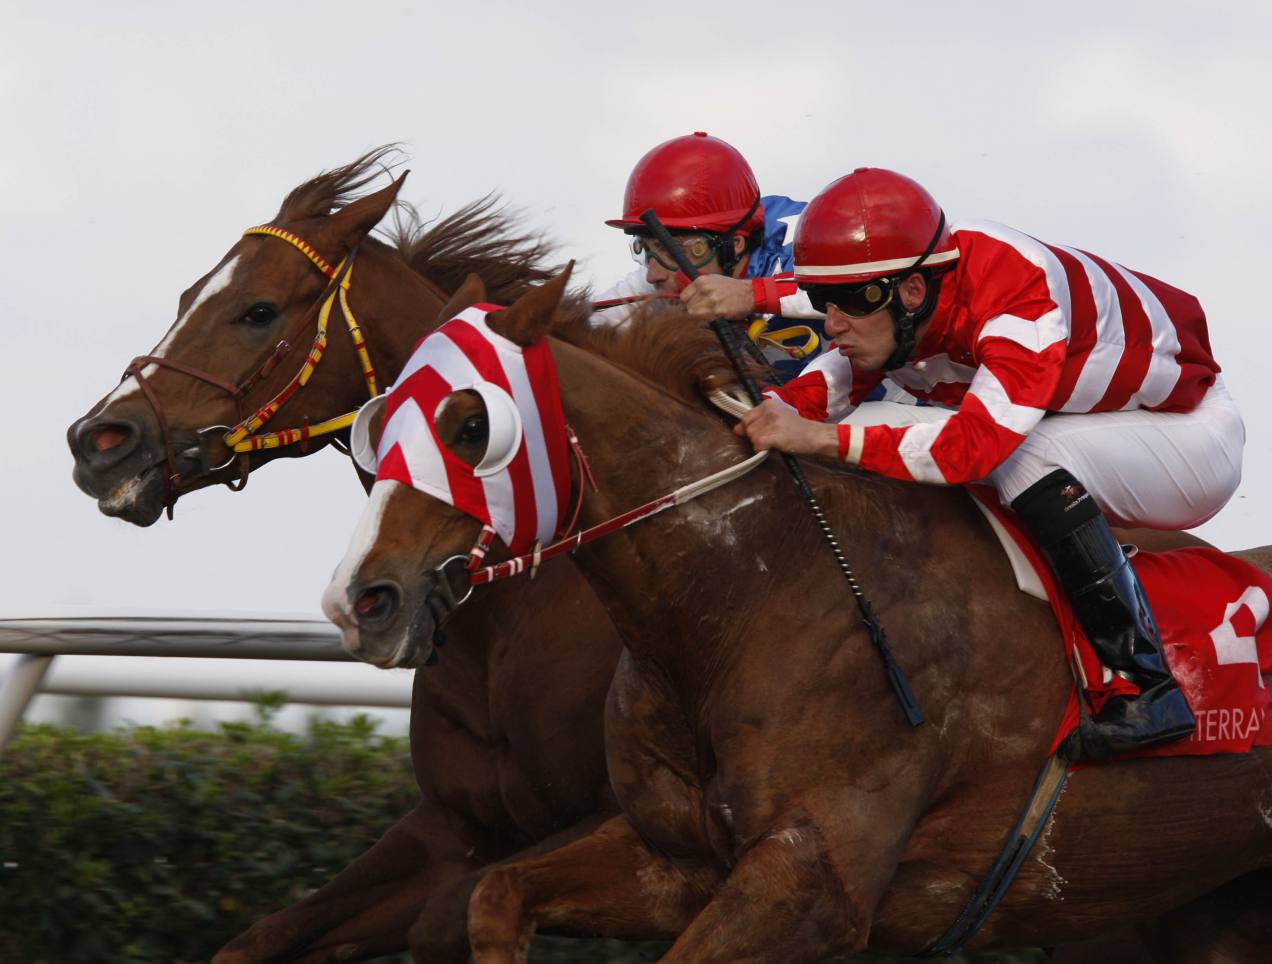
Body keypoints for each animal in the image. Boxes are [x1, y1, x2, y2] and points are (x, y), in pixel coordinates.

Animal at [67, 149, 628, 961]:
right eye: (186, 295)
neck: (520, 608)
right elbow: (261, 937)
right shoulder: (451, 827)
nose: (97, 441)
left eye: (259, 311)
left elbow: (448, 917)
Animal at [328, 269, 1272, 964]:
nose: (359, 599)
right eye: (381, 419)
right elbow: (496, 893)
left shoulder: (813, 885)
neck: (755, 592)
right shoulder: (676, 862)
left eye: (470, 424)